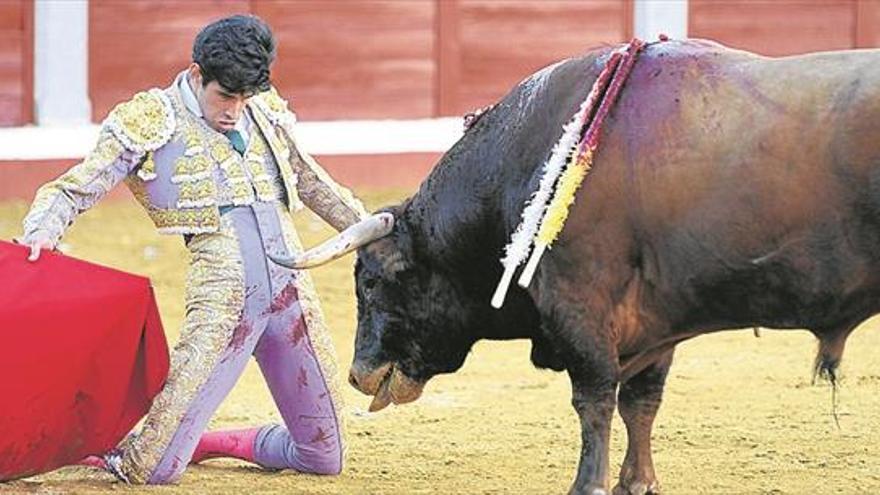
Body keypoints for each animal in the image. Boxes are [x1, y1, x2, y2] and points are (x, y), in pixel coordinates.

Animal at [272, 39, 880, 495]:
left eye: (372, 282)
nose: (358, 374)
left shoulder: (579, 306)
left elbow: (595, 399)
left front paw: (589, 484)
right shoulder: (656, 318)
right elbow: (641, 401)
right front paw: (637, 483)